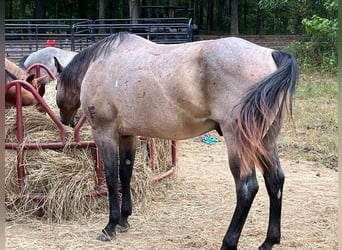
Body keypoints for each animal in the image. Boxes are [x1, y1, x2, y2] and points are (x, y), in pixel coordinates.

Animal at [54, 33, 298, 250]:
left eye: (55, 87)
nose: (66, 121)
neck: (100, 64)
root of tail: (270, 54)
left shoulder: (105, 134)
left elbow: (111, 178)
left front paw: (111, 225)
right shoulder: (127, 135)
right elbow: (126, 174)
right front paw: (124, 219)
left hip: (239, 142)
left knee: (247, 188)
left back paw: (228, 243)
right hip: (265, 141)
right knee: (275, 180)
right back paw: (269, 241)